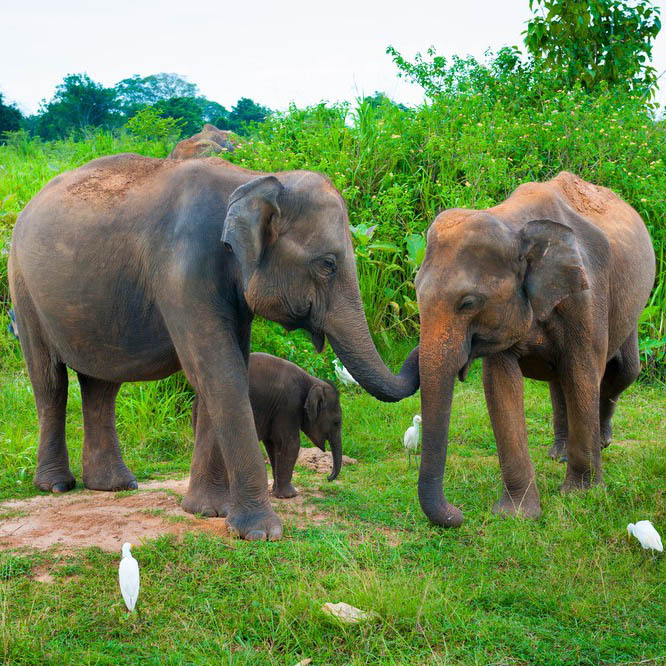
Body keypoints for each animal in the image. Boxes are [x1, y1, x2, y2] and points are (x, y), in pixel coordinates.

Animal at [189, 352, 340, 498]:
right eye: (336, 422)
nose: (328, 478)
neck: (312, 380)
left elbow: (273, 444)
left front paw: (276, 491)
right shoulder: (289, 405)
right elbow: (290, 443)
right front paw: (290, 495)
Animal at [416, 174, 652, 528]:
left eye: (468, 303)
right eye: (415, 290)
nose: (458, 514)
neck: (512, 223)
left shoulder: (586, 295)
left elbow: (583, 373)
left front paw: (581, 496)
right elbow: (500, 387)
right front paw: (516, 515)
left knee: (622, 372)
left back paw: (602, 442)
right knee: (560, 380)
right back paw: (560, 454)